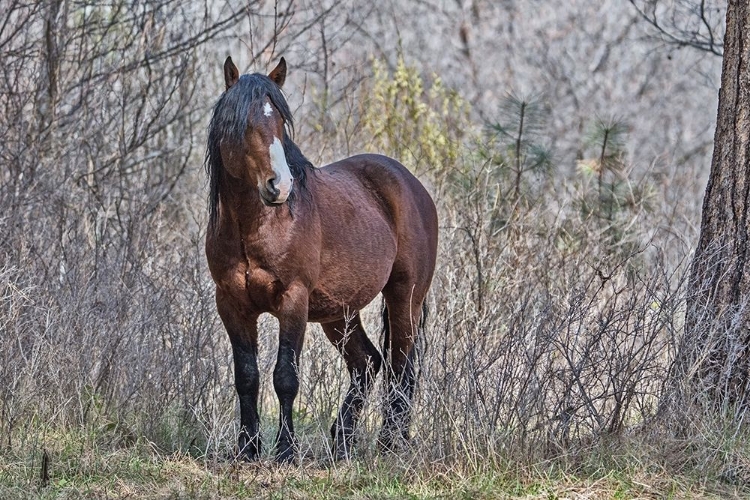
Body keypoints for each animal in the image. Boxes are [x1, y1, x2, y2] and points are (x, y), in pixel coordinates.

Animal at [206, 56, 440, 462]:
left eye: (280, 122)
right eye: (240, 123)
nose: (279, 186)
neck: (257, 226)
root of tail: (412, 185)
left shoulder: (293, 300)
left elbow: (285, 377)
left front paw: (285, 451)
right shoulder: (232, 303)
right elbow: (247, 377)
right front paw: (248, 448)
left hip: (405, 297)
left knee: (402, 367)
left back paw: (390, 443)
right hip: (340, 312)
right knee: (367, 363)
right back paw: (343, 439)